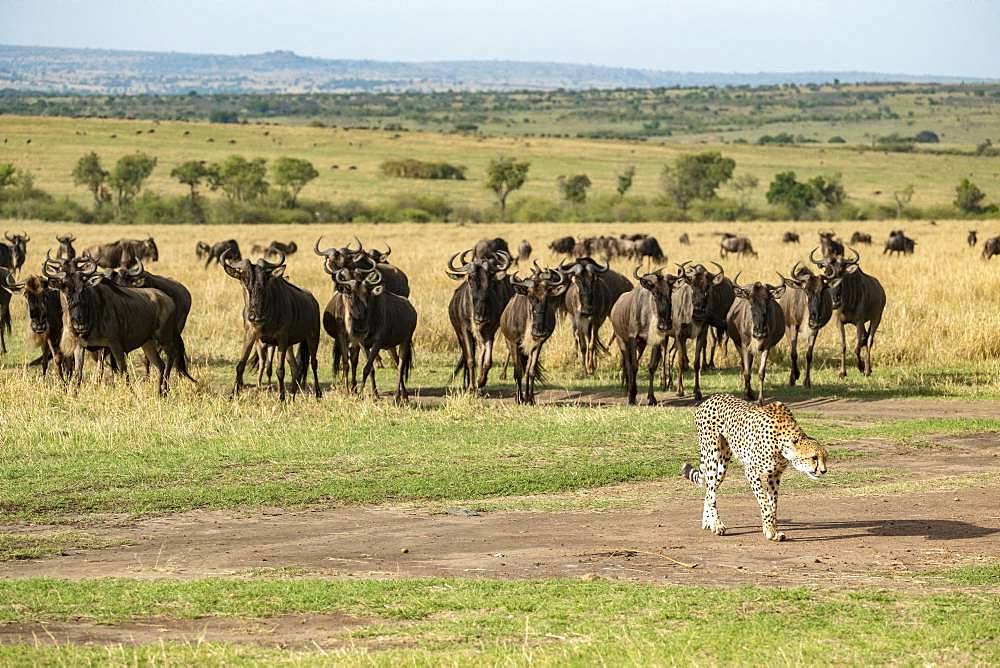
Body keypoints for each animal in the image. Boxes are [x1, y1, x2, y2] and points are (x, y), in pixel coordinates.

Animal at [680, 394, 828, 540]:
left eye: (825, 458)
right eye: (814, 457)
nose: (823, 471)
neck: (782, 443)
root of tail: (711, 398)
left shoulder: (775, 475)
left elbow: (772, 505)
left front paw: (771, 530)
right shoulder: (751, 471)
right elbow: (764, 503)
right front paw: (770, 531)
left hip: (724, 461)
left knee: (709, 490)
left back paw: (707, 522)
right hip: (712, 454)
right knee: (711, 491)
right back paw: (717, 525)